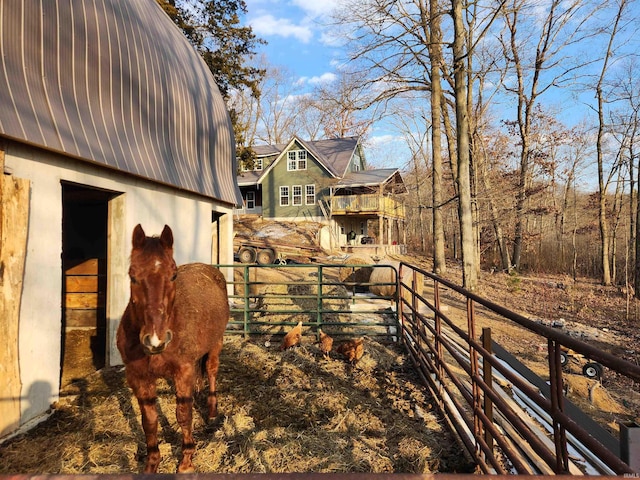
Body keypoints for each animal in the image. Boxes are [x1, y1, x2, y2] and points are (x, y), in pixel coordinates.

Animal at [117, 225, 230, 472]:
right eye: (132, 275)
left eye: (173, 274)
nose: (155, 340)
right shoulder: (139, 378)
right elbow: (149, 422)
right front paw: (152, 463)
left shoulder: (183, 372)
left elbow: (184, 415)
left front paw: (186, 461)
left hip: (216, 344)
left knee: (211, 371)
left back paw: (212, 412)